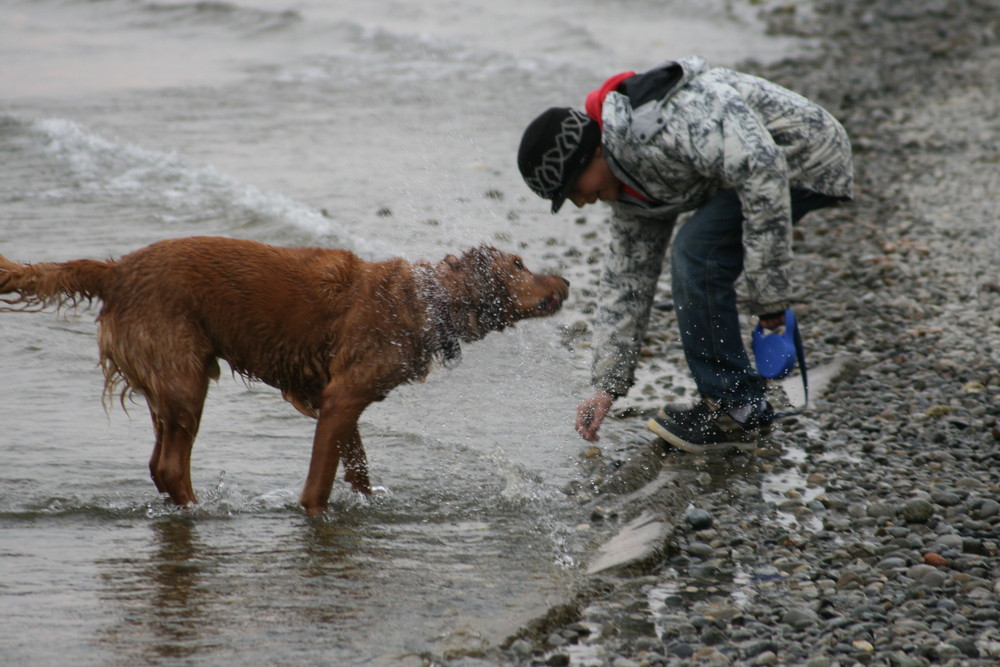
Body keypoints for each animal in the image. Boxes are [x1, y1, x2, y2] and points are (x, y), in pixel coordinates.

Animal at [0, 239, 568, 516]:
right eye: (519, 264)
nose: (565, 280)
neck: (424, 301)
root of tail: (114, 271)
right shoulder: (341, 398)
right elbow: (319, 484)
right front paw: (315, 514)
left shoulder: (338, 403)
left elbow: (358, 467)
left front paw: (370, 503)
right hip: (186, 381)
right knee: (170, 466)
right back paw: (200, 512)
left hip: (169, 385)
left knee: (158, 465)